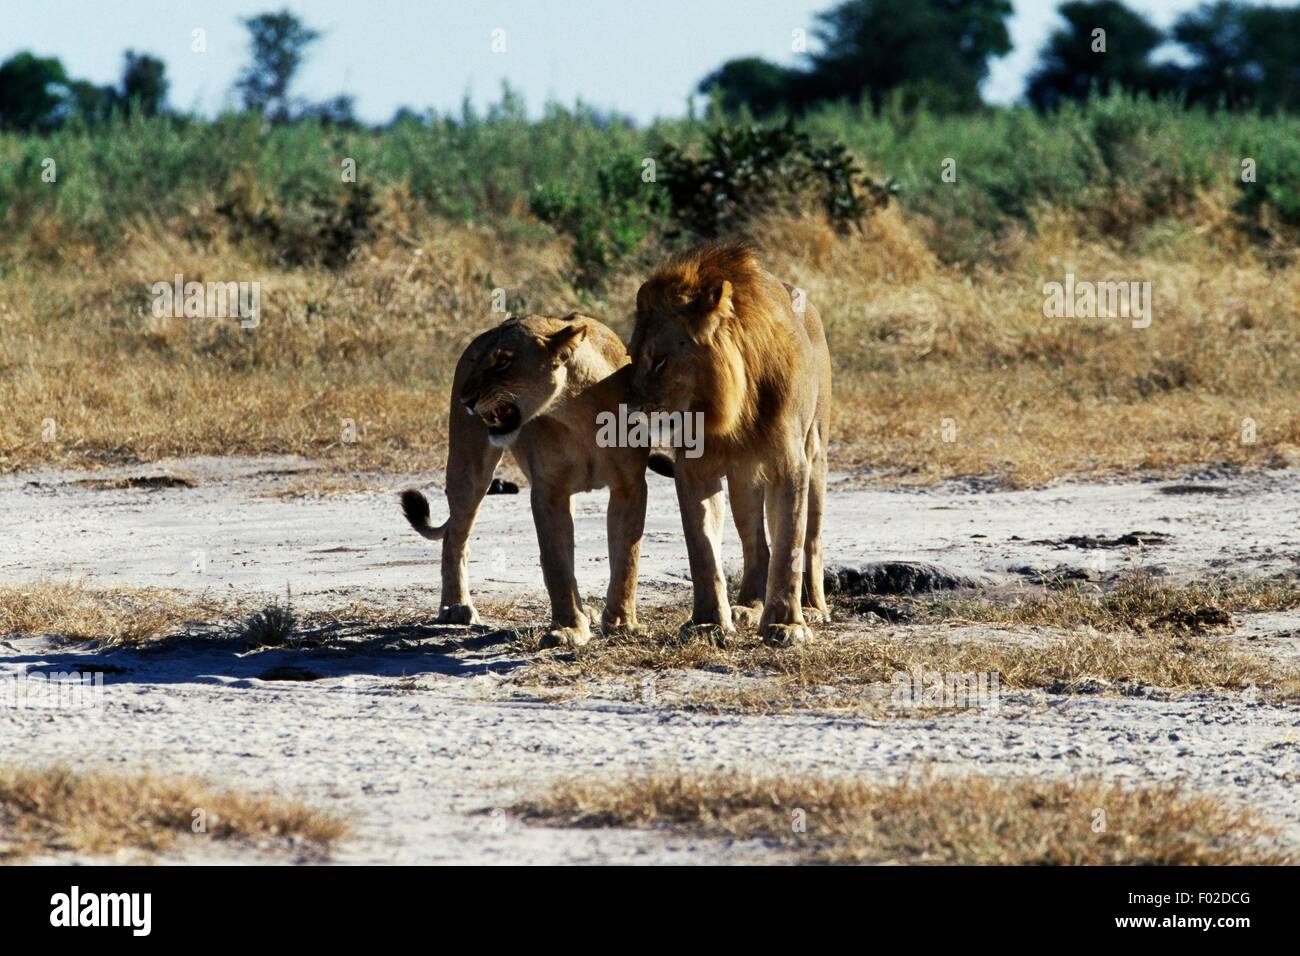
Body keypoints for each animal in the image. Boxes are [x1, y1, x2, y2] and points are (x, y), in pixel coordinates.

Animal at [400, 313, 671, 648]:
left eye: (504, 361)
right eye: (478, 361)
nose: (466, 399)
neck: (577, 413)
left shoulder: (630, 485)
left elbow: (626, 559)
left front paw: (621, 624)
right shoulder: (548, 491)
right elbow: (556, 563)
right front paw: (567, 628)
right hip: (469, 468)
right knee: (455, 535)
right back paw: (456, 606)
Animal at [629, 240, 831, 647]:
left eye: (659, 361)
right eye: (630, 355)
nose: (627, 405)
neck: (725, 410)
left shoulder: (792, 465)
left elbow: (791, 544)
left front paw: (786, 625)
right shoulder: (694, 469)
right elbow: (703, 548)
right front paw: (707, 623)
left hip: (817, 457)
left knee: (812, 541)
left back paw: (814, 609)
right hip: (743, 481)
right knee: (756, 546)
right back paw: (748, 606)